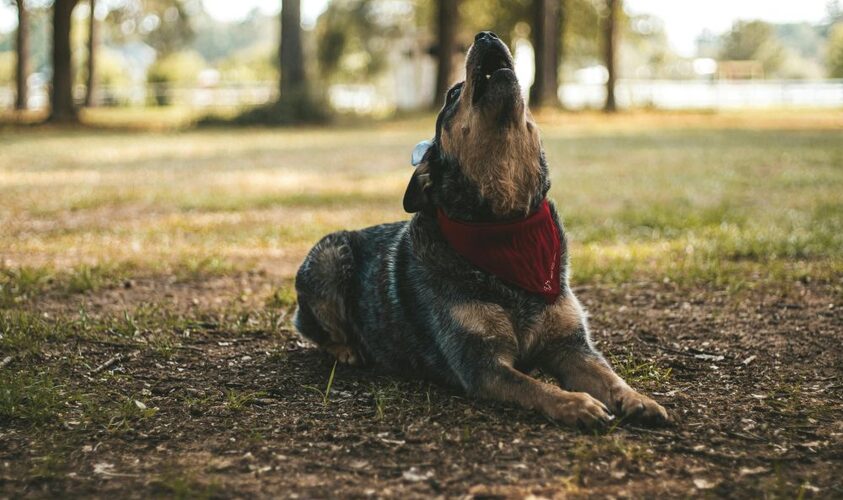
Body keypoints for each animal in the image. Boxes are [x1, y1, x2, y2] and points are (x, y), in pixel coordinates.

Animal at [294, 31, 668, 427]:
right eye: (453, 94)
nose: (485, 35)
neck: (506, 223)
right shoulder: (480, 363)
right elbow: (537, 388)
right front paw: (576, 404)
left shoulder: (571, 346)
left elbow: (608, 376)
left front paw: (637, 398)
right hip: (328, 256)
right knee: (314, 329)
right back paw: (347, 348)